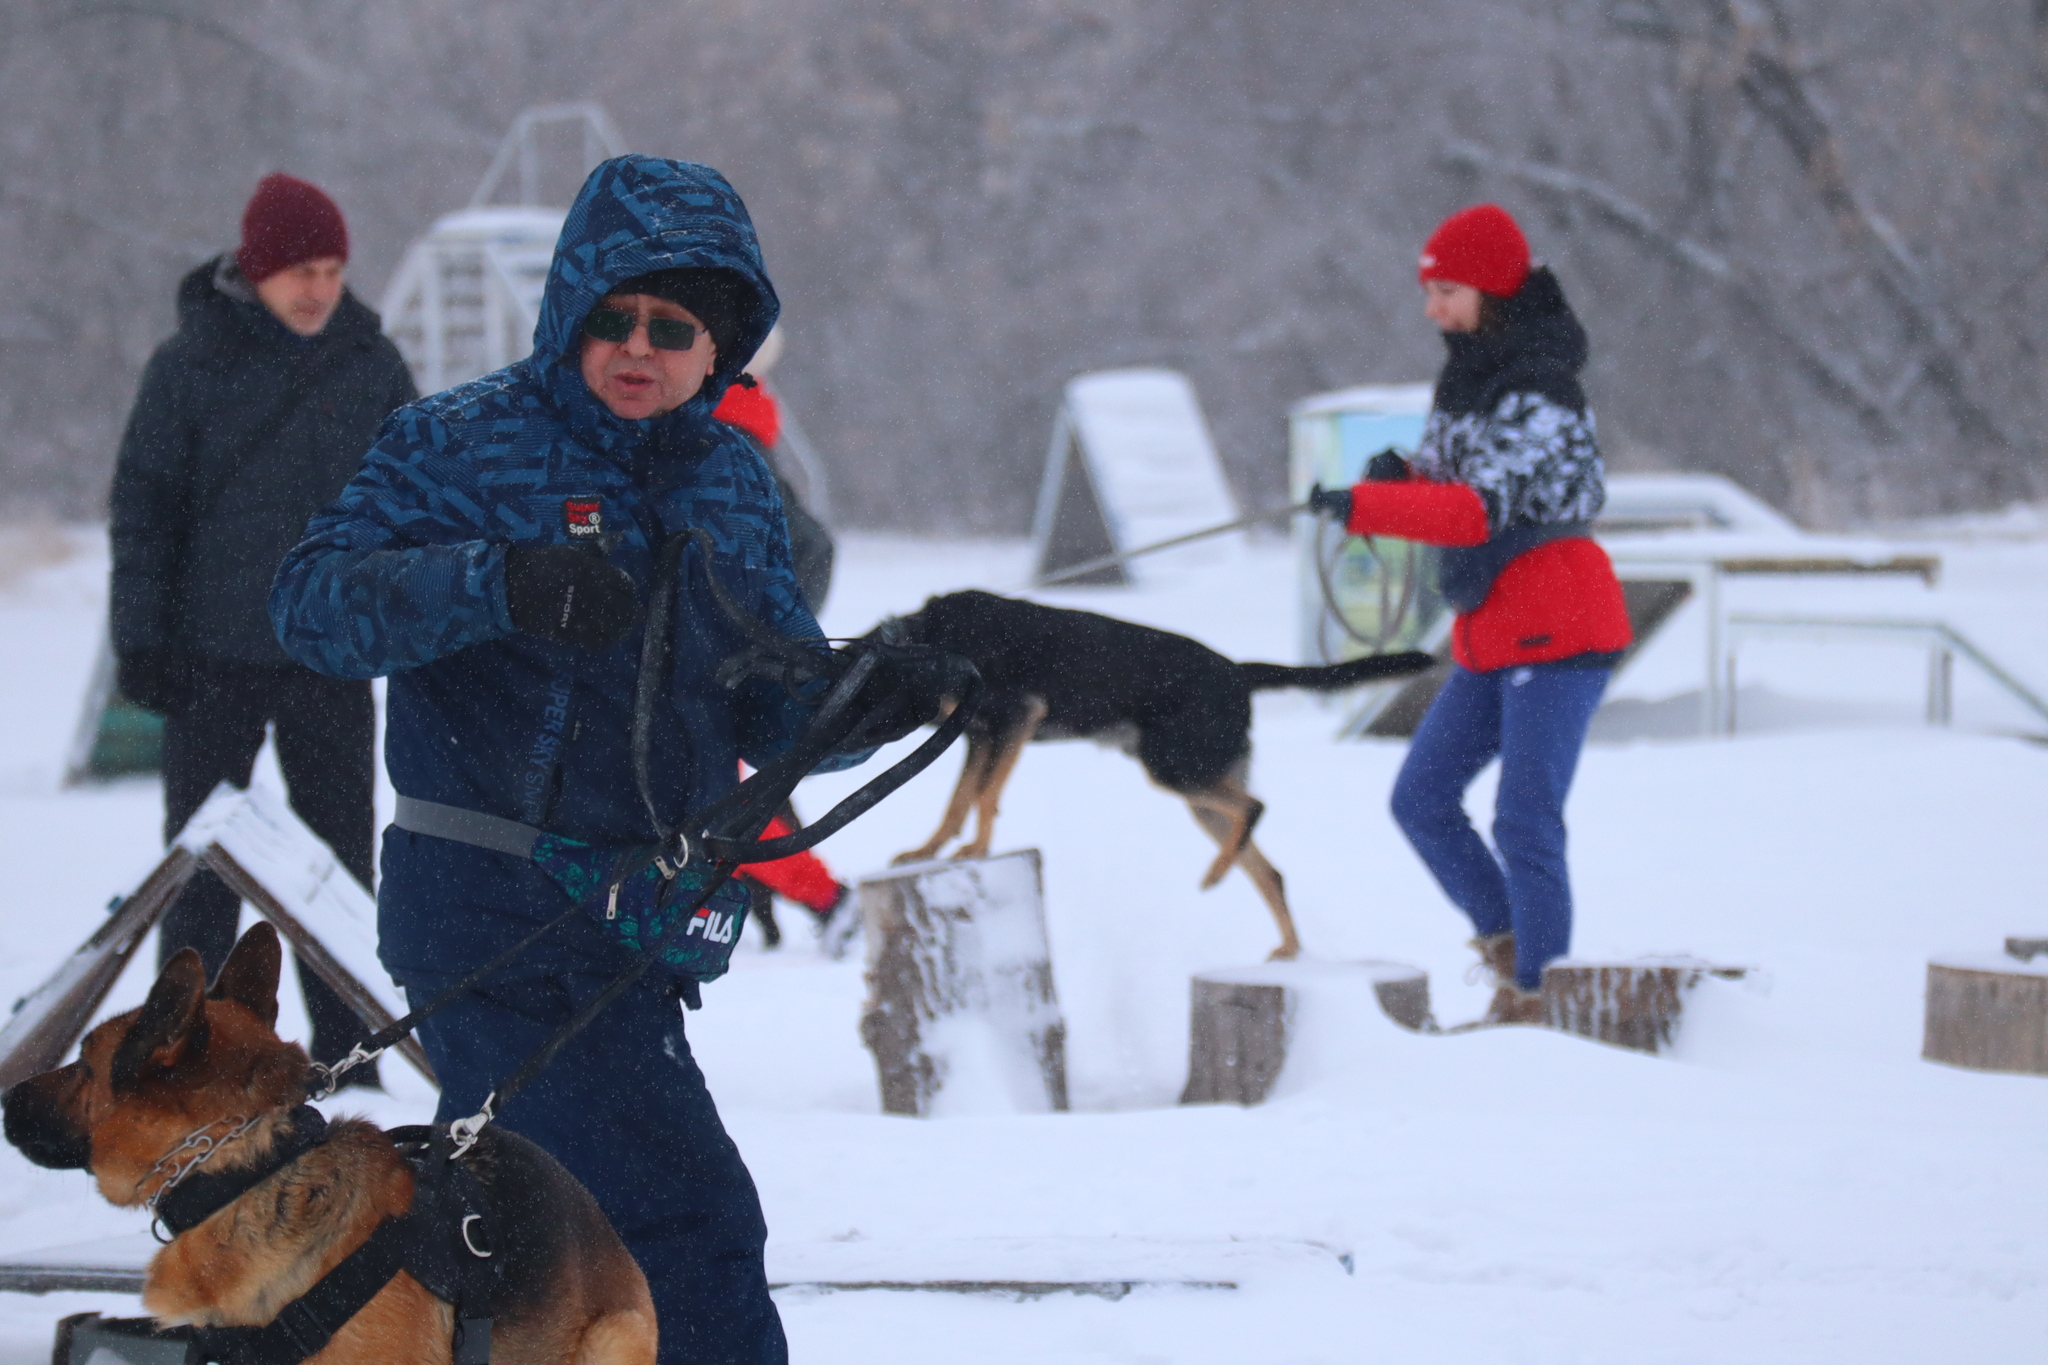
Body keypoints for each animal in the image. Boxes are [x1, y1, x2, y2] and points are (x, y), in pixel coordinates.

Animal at [872, 593, 1433, 961]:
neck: (929, 641)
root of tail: (1239, 671)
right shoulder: (981, 737)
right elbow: (958, 803)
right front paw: (929, 851)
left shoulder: (1015, 718)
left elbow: (984, 795)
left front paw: (977, 848)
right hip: (1196, 792)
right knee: (1268, 866)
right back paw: (1288, 946)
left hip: (1172, 769)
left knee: (1255, 807)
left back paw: (1215, 874)